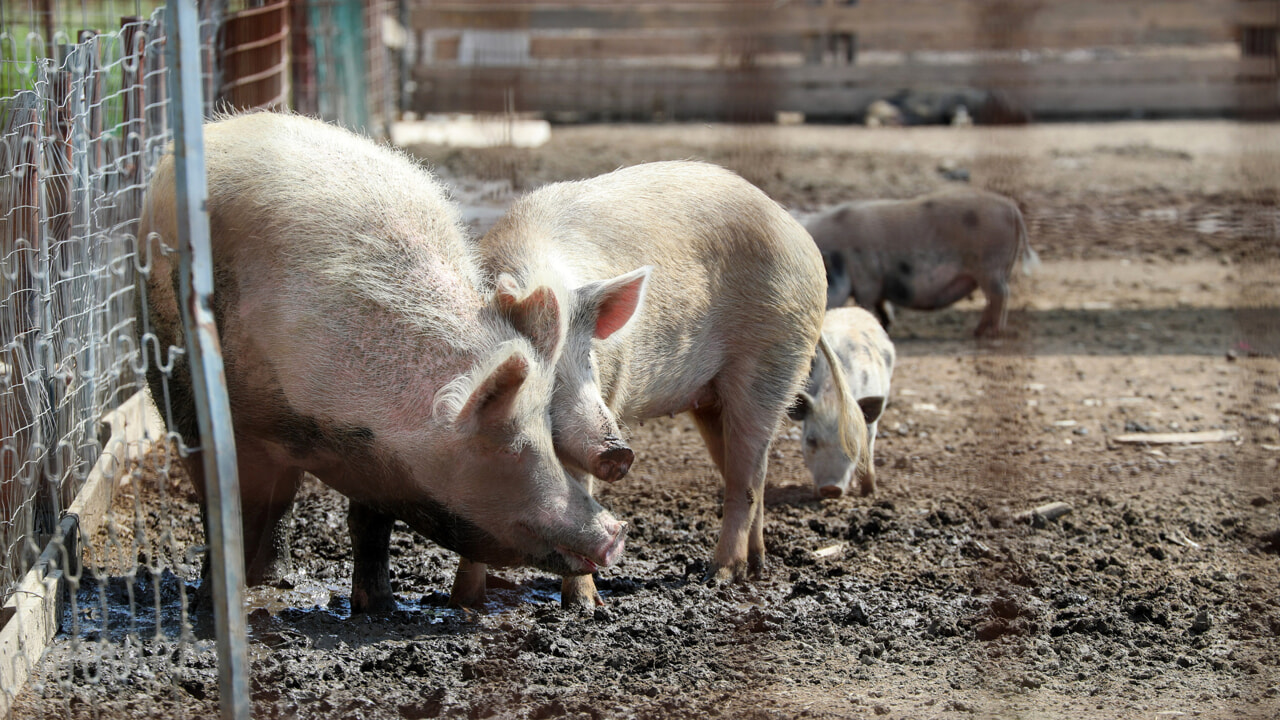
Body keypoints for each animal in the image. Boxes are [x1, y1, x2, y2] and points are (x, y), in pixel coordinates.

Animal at [141, 110, 624, 604]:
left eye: (546, 432)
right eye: (508, 447)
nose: (615, 532)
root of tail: (225, 125)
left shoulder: (377, 455)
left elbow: (368, 522)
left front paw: (377, 606)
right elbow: (233, 497)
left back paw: (278, 578)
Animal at [445, 158, 875, 604]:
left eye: (588, 360)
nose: (618, 451)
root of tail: (800, 236)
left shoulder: (607, 393)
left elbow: (579, 490)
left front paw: (584, 606)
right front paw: (462, 603)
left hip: (773, 363)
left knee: (745, 481)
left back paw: (719, 576)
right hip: (712, 400)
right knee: (754, 473)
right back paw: (755, 568)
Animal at [783, 304, 896, 497]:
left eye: (851, 444)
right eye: (811, 440)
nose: (830, 488)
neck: (833, 400)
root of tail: (851, 307)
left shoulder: (870, 424)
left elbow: (867, 453)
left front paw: (870, 493)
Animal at [808, 185, 1039, 335]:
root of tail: (1011, 208)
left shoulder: (867, 279)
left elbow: (866, 304)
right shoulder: (877, 283)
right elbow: (883, 305)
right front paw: (886, 326)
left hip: (990, 265)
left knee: (1000, 294)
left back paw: (989, 332)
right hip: (998, 268)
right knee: (995, 297)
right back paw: (980, 330)